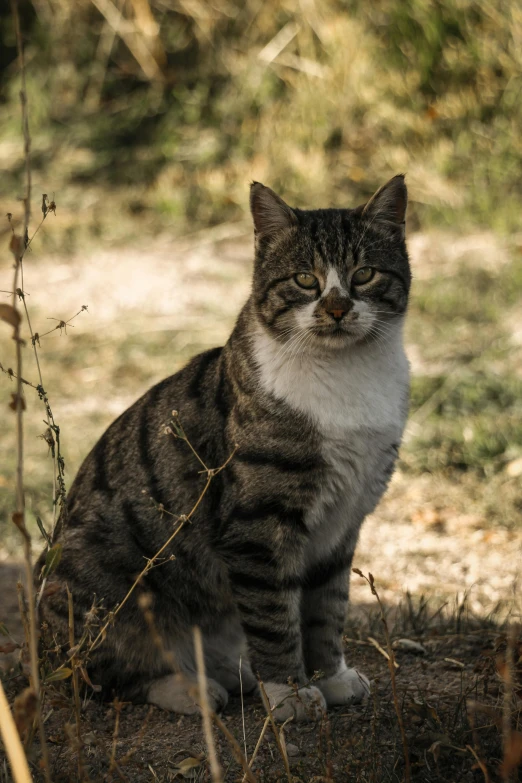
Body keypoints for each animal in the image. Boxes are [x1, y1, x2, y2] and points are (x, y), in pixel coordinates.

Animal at [36, 173, 410, 724]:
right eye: (304, 280)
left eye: (363, 274)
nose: (337, 307)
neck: (345, 376)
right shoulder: (258, 525)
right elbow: (275, 617)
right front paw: (290, 694)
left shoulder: (343, 522)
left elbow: (326, 609)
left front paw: (329, 677)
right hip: (105, 582)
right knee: (103, 674)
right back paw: (192, 689)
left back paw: (232, 673)